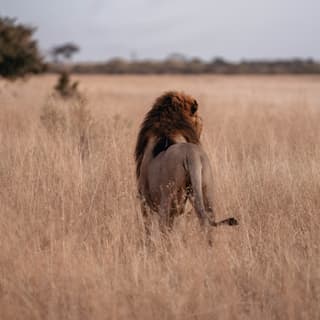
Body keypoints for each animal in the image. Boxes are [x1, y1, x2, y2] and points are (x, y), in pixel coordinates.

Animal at [134, 91, 238, 231]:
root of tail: (191, 155)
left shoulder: (144, 199)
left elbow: (148, 229)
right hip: (206, 191)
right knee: (207, 220)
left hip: (167, 200)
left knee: (165, 227)